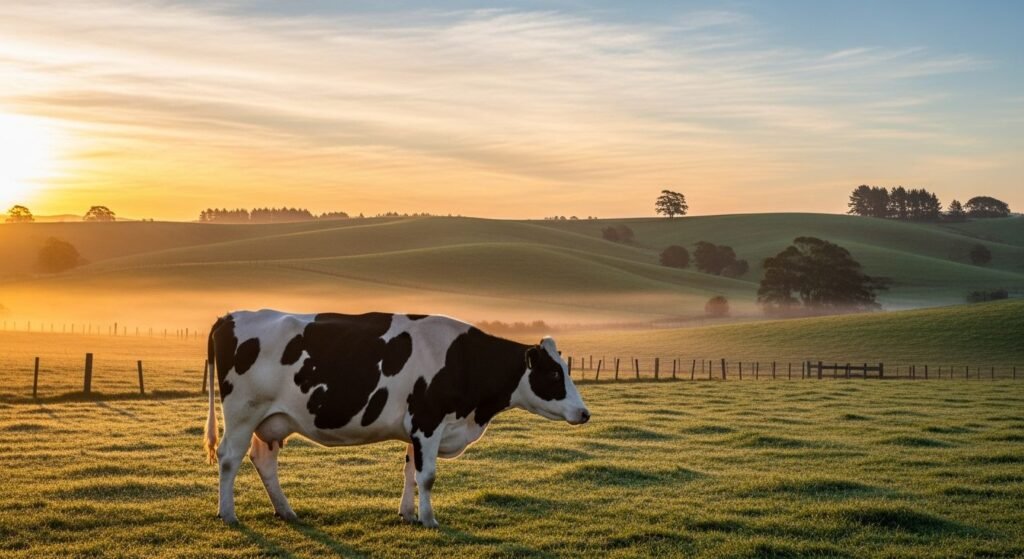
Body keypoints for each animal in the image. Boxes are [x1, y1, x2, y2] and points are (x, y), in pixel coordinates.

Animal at [203, 309, 590, 526]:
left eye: (566, 369)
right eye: (554, 374)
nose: (584, 413)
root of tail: (232, 315)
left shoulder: (416, 429)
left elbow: (410, 471)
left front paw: (407, 514)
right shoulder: (428, 421)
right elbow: (428, 477)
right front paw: (429, 519)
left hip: (270, 419)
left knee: (263, 460)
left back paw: (286, 511)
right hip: (243, 413)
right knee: (229, 459)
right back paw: (229, 514)